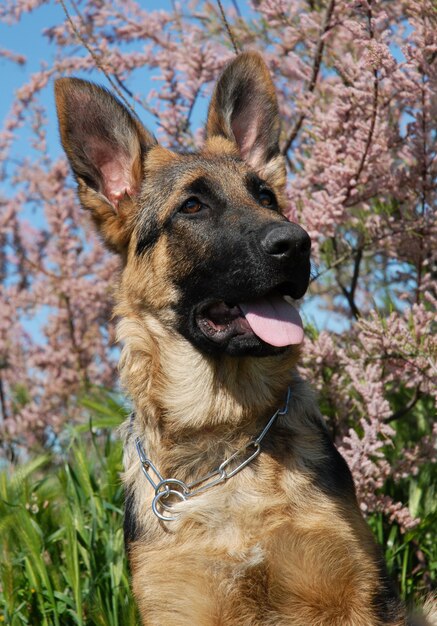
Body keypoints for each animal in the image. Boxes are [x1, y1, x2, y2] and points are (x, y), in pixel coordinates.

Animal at [55, 51, 416, 620]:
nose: (297, 244)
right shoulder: (179, 607)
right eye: (192, 206)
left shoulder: (357, 595)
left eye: (266, 196)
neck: (224, 435)